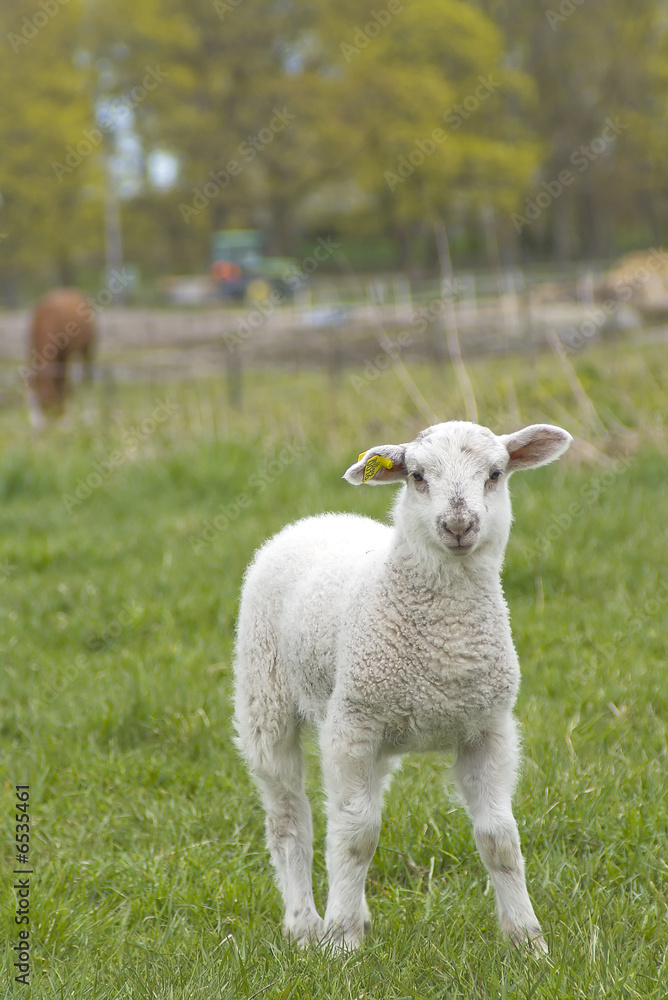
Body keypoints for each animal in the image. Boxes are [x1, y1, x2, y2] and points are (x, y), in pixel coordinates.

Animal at [233, 419, 572, 953]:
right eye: (416, 476)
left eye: (495, 474)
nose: (458, 525)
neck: (446, 644)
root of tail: (317, 519)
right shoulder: (351, 725)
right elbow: (355, 835)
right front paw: (341, 942)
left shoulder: (490, 728)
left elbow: (499, 837)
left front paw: (528, 941)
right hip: (264, 694)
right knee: (289, 816)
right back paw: (306, 926)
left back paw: (351, 911)